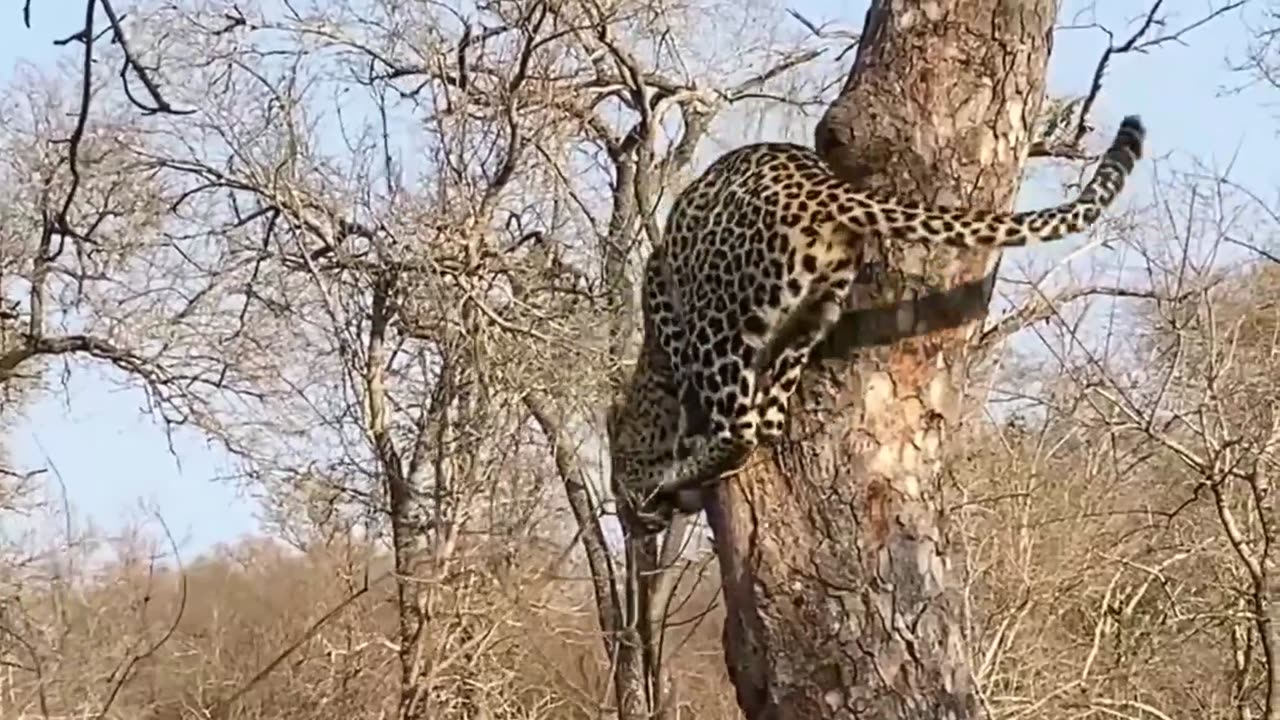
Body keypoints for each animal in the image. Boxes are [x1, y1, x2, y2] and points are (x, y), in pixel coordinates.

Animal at [604, 114, 1146, 532]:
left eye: (617, 478)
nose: (639, 523)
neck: (652, 378)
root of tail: (818, 185)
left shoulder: (665, 304)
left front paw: (675, 464)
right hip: (817, 308)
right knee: (770, 418)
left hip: (720, 320)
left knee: (741, 429)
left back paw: (688, 468)